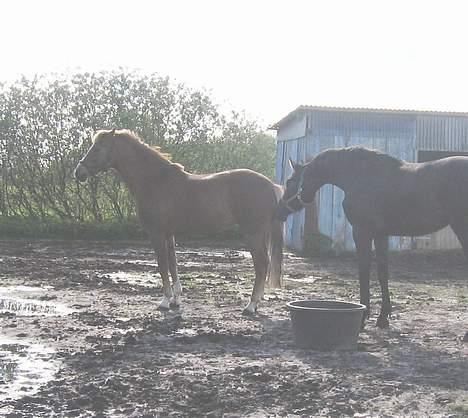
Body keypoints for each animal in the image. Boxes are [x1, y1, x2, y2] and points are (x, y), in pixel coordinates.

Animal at [75, 129, 284, 316]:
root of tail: (271, 185)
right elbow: (173, 264)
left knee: (261, 264)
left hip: (253, 233)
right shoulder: (169, 234)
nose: (79, 173)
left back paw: (250, 306)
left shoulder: (157, 234)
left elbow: (162, 266)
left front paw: (164, 302)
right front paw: (176, 299)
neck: (155, 180)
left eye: (98, 148)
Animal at [278, 149, 468, 328]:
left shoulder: (362, 232)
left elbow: (364, 271)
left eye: (290, 182)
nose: (280, 208)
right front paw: (383, 318)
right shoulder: (380, 234)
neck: (360, 175)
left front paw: (363, 317)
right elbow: (383, 272)